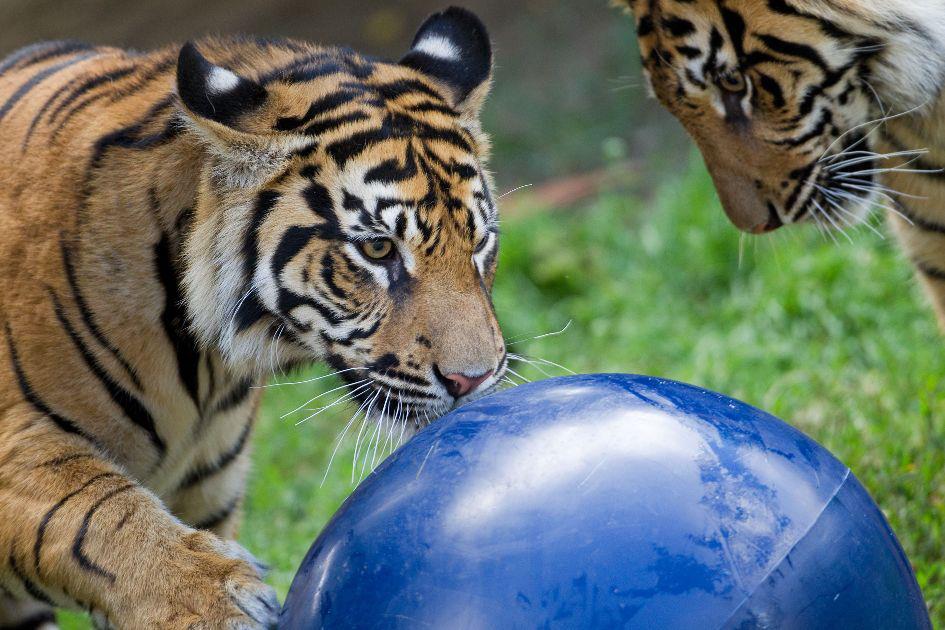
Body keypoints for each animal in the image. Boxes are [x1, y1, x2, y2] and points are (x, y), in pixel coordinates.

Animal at [0, 6, 508, 630]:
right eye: (379, 249)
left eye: (479, 242)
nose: (474, 380)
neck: (204, 362)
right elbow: (95, 513)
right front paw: (213, 598)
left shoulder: (208, 493)